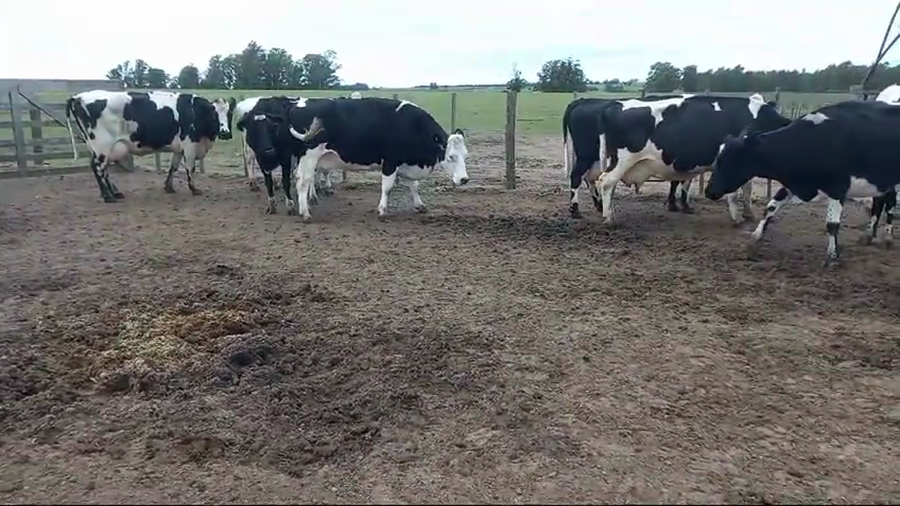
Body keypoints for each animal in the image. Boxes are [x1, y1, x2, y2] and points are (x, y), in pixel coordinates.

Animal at [65, 90, 234, 202]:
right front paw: (194, 189)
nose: (225, 133)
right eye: (214, 114)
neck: (194, 111)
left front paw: (169, 187)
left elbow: (173, 167)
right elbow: (190, 169)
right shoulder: (190, 146)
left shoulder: (179, 148)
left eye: (230, 114)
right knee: (97, 167)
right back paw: (108, 196)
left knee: (102, 169)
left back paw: (114, 193)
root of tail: (78, 97)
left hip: (98, 147)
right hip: (102, 146)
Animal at [283, 97, 469, 222]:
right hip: (309, 156)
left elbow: (414, 186)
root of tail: (297, 105)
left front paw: (419, 205)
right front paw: (382, 210)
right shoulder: (390, 162)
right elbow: (387, 188)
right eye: (451, 157)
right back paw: (305, 213)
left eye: (465, 155)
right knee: (303, 181)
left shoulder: (406, 163)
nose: (464, 179)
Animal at [588, 94, 792, 225]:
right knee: (606, 182)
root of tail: (615, 105)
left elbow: (747, 189)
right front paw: (737, 218)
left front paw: (748, 214)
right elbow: (735, 192)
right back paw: (609, 218)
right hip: (622, 159)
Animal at [704, 99, 900, 266]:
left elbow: (832, 225)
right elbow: (770, 208)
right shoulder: (790, 184)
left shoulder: (837, 189)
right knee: (881, 202)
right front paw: (754, 240)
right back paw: (869, 235)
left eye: (727, 161)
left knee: (890, 205)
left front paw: (832, 256)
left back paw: (888, 238)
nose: (708, 191)